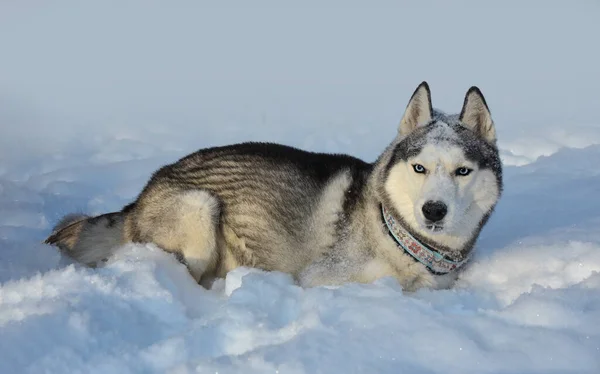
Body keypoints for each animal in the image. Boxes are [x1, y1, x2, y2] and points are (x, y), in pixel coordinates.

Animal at [45, 82, 502, 292]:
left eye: (462, 171)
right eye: (419, 167)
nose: (434, 210)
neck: (396, 235)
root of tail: (140, 195)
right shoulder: (320, 279)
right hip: (198, 208)